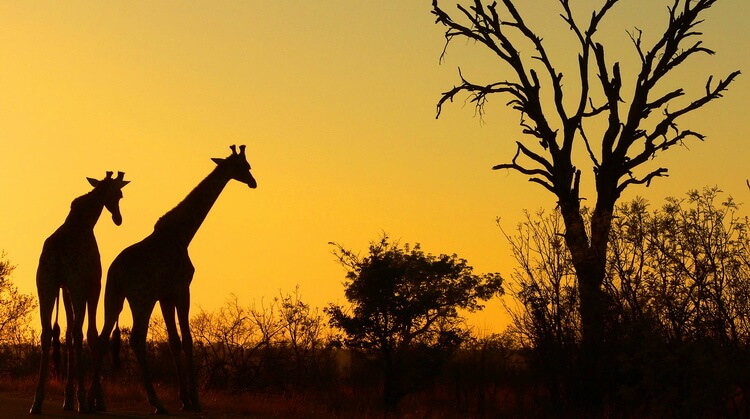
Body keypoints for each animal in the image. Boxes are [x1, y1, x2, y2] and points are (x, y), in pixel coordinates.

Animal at [30, 172, 131, 416]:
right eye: (119, 194)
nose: (118, 218)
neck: (85, 221)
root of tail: (56, 253)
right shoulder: (92, 285)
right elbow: (91, 335)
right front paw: (96, 400)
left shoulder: (65, 289)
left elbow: (66, 335)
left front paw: (67, 399)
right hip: (76, 288)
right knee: (78, 332)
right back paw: (83, 401)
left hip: (44, 286)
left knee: (47, 333)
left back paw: (37, 401)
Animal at [91, 144, 258, 414]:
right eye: (245, 166)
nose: (253, 182)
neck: (182, 234)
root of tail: (117, 270)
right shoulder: (181, 290)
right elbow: (188, 340)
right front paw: (195, 401)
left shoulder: (165, 296)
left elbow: (174, 341)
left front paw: (184, 399)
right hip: (141, 298)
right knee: (136, 339)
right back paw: (156, 402)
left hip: (113, 297)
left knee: (103, 337)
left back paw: (96, 400)